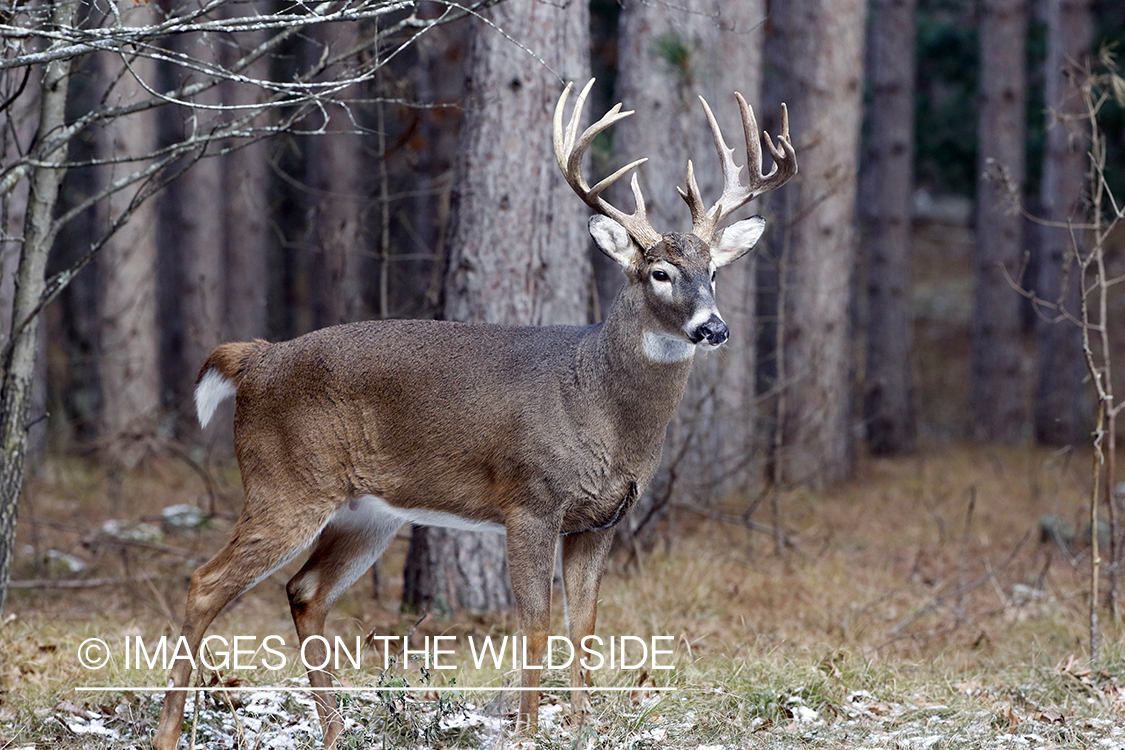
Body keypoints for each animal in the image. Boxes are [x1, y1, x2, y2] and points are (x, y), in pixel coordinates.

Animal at [149, 77, 796, 750]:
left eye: (714, 271)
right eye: (660, 272)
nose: (714, 327)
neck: (600, 407)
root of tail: (256, 359)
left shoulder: (600, 520)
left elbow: (585, 626)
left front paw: (584, 726)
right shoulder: (530, 500)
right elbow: (535, 623)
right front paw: (529, 731)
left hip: (365, 512)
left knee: (304, 590)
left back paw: (335, 732)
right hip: (283, 483)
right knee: (205, 583)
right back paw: (169, 733)